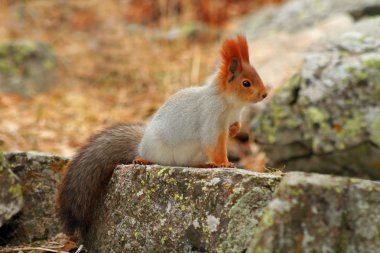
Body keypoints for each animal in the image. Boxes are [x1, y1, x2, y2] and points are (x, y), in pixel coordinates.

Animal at [56, 34, 268, 239]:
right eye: (246, 83)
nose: (265, 94)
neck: (231, 104)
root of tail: (141, 145)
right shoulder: (211, 119)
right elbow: (214, 144)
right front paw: (225, 163)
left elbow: (233, 127)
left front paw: (234, 131)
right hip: (156, 149)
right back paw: (142, 160)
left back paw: (204, 165)